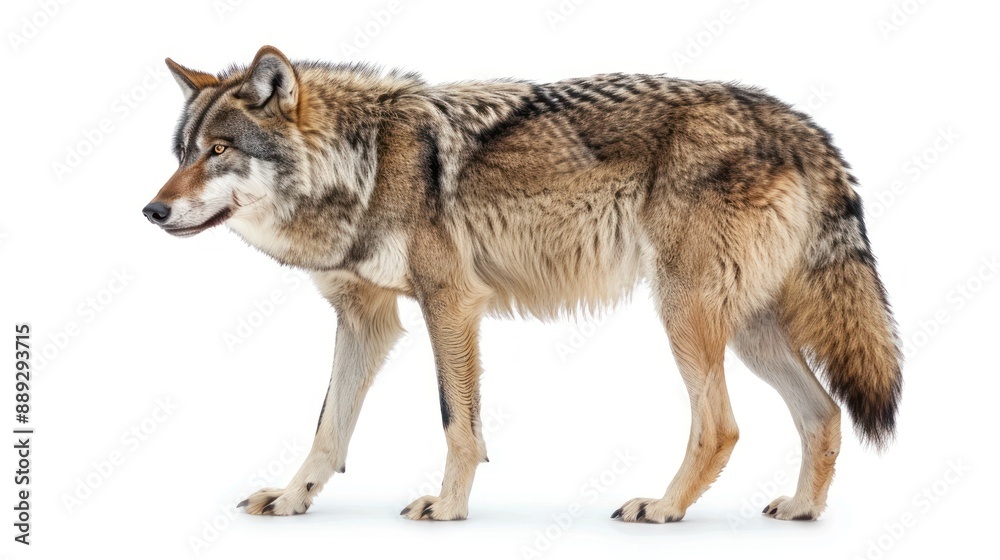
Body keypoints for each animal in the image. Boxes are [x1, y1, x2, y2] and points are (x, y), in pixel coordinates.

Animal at [143, 46, 901, 522]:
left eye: (220, 151)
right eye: (181, 154)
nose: (151, 211)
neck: (365, 165)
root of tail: (800, 125)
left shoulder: (451, 304)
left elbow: (458, 424)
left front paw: (448, 508)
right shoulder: (367, 320)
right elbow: (329, 427)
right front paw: (292, 498)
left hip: (685, 314)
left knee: (721, 426)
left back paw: (663, 509)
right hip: (747, 330)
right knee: (822, 413)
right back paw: (802, 509)